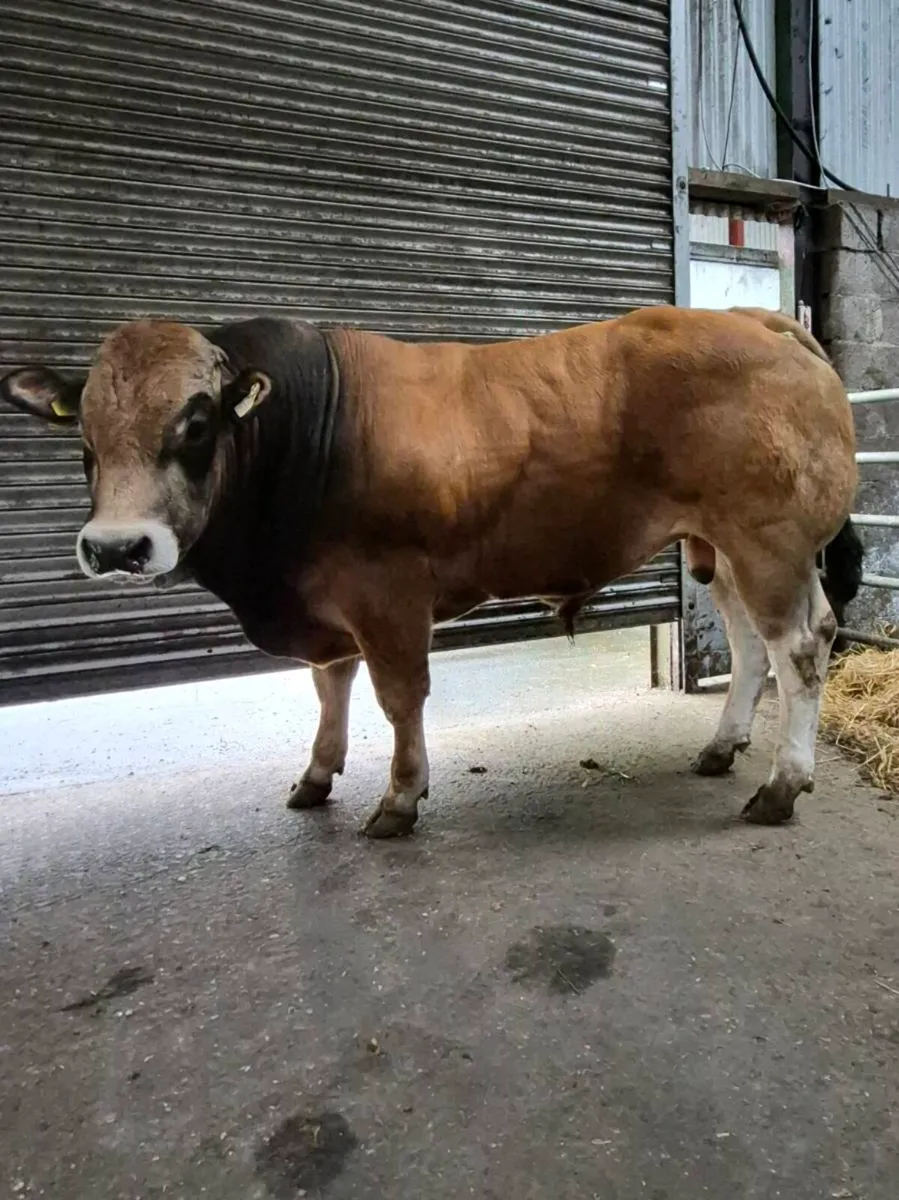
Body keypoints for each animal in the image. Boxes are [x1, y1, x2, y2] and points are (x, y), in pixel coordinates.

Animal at [0, 305, 861, 838]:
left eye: (198, 422)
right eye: (83, 432)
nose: (118, 547)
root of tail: (757, 319)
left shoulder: (385, 593)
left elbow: (397, 696)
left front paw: (399, 796)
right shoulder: (327, 599)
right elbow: (331, 686)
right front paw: (317, 775)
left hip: (767, 540)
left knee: (800, 647)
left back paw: (780, 786)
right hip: (719, 547)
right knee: (753, 648)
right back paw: (721, 749)